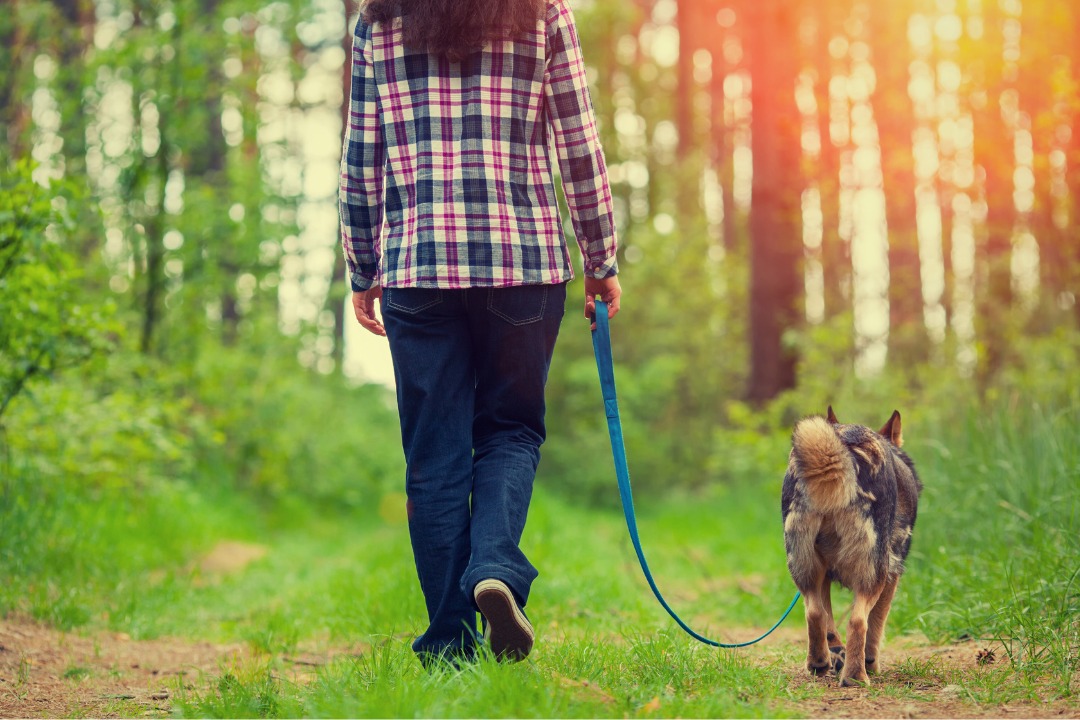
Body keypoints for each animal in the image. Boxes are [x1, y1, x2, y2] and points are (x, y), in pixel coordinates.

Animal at [781, 405, 924, 686]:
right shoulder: (891, 576)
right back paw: (856, 676)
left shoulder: (825, 575)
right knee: (858, 621)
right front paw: (870, 662)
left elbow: (828, 623)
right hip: (873, 574)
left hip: (804, 569)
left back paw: (819, 663)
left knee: (815, 614)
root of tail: (844, 445)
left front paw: (837, 655)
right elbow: (876, 625)